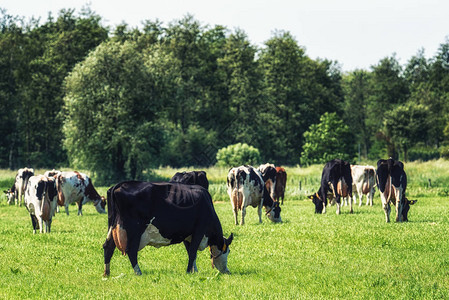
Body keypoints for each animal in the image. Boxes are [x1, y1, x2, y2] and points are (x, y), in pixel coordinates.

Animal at [103, 180, 233, 276]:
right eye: (228, 251)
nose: (227, 271)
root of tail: (119, 184)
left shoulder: (188, 234)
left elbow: (191, 252)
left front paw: (194, 271)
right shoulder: (199, 230)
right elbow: (192, 252)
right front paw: (188, 272)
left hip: (114, 226)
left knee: (108, 247)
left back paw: (106, 273)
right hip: (134, 230)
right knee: (131, 251)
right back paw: (138, 272)